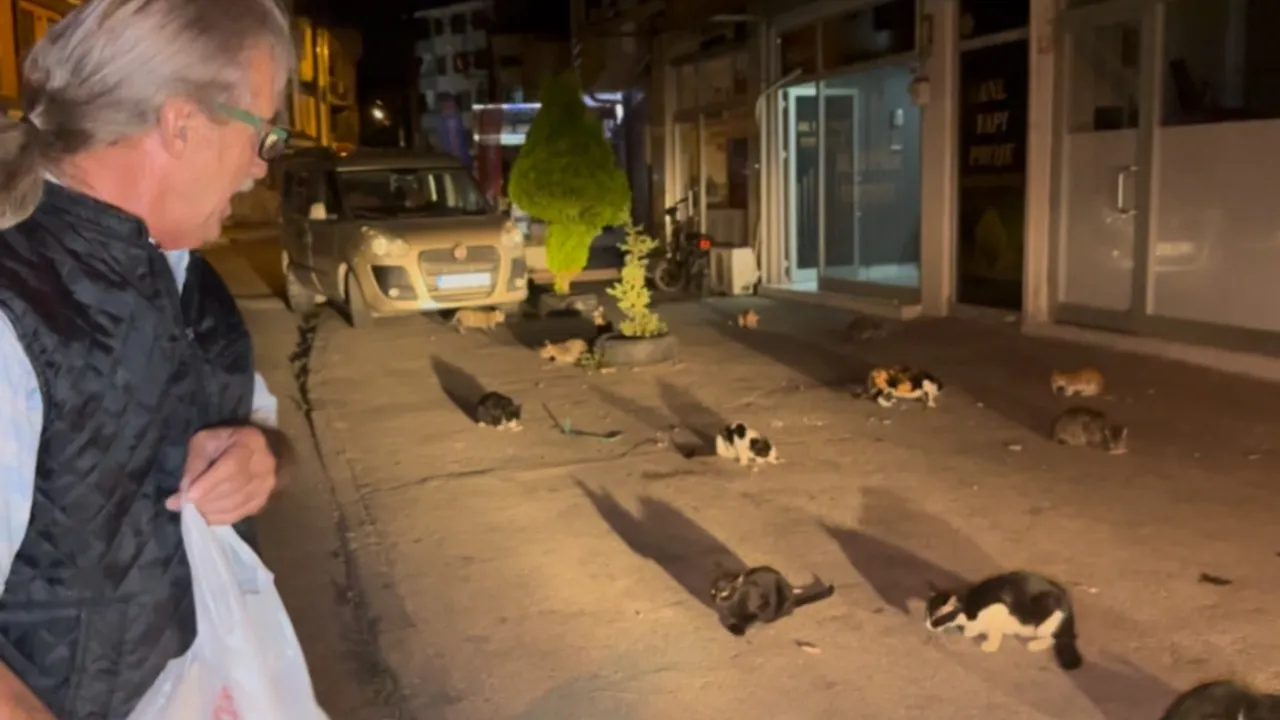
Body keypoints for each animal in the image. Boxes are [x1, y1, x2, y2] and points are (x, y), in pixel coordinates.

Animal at [925, 570, 1083, 671]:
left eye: (936, 619)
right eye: (927, 614)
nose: (927, 625)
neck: (969, 606)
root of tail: (1068, 604)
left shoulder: (999, 609)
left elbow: (994, 632)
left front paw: (990, 645)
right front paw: (972, 630)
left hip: (1046, 619)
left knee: (1054, 638)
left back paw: (1035, 644)